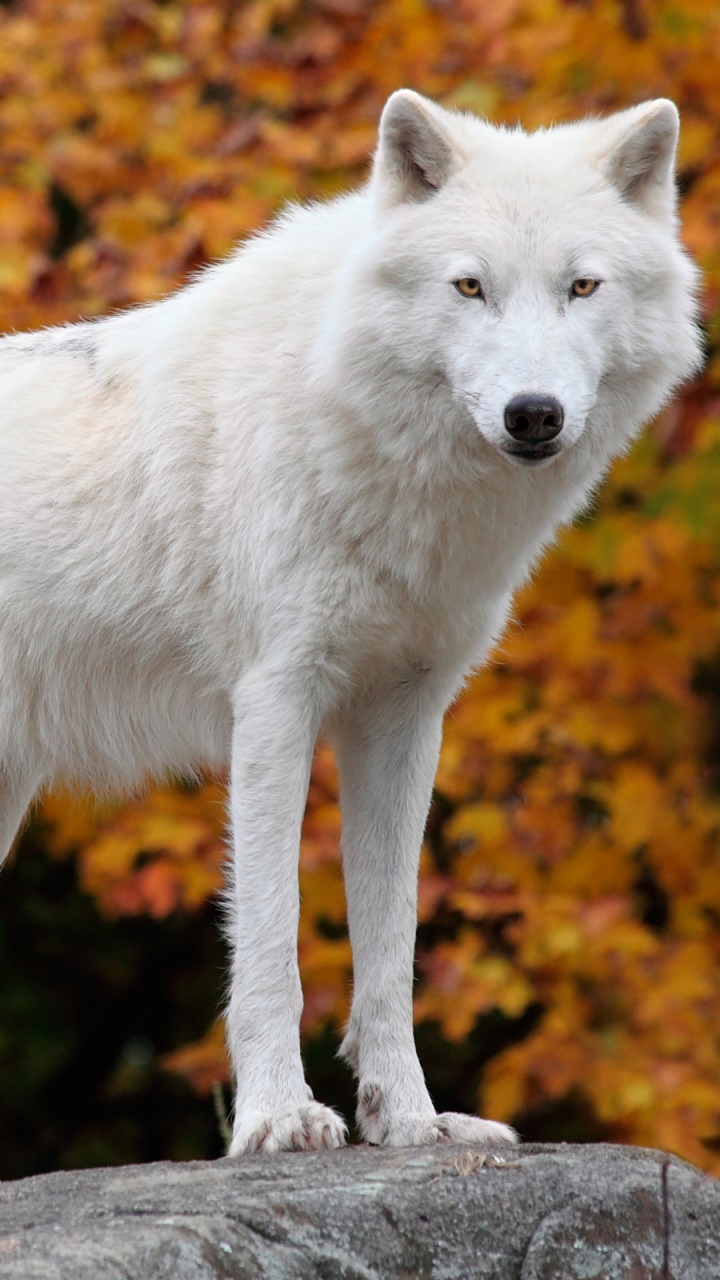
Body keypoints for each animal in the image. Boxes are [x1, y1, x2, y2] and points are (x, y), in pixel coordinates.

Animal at [0, 90, 701, 1154]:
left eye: (582, 286)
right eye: (469, 287)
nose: (532, 414)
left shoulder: (404, 719)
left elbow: (390, 946)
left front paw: (410, 1120)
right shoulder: (275, 703)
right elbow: (271, 939)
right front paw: (279, 1118)